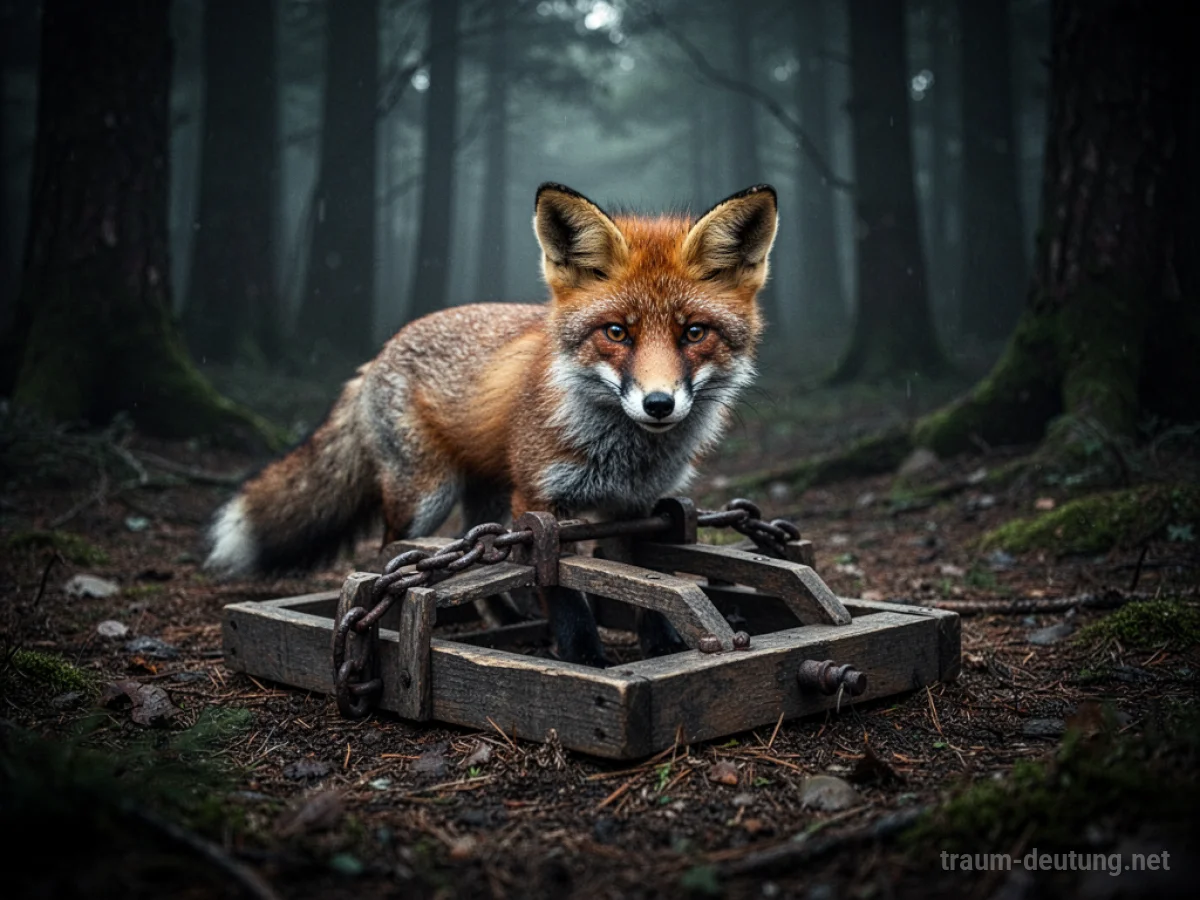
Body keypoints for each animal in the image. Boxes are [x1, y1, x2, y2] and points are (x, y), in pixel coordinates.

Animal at [206, 182, 779, 666]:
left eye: (694, 332)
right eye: (616, 332)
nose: (658, 404)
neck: (626, 456)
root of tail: (378, 355)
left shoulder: (636, 507)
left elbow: (642, 582)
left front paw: (661, 646)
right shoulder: (540, 502)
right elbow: (561, 587)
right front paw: (583, 658)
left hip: (488, 498)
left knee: (482, 559)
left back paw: (504, 618)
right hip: (427, 496)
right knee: (394, 554)